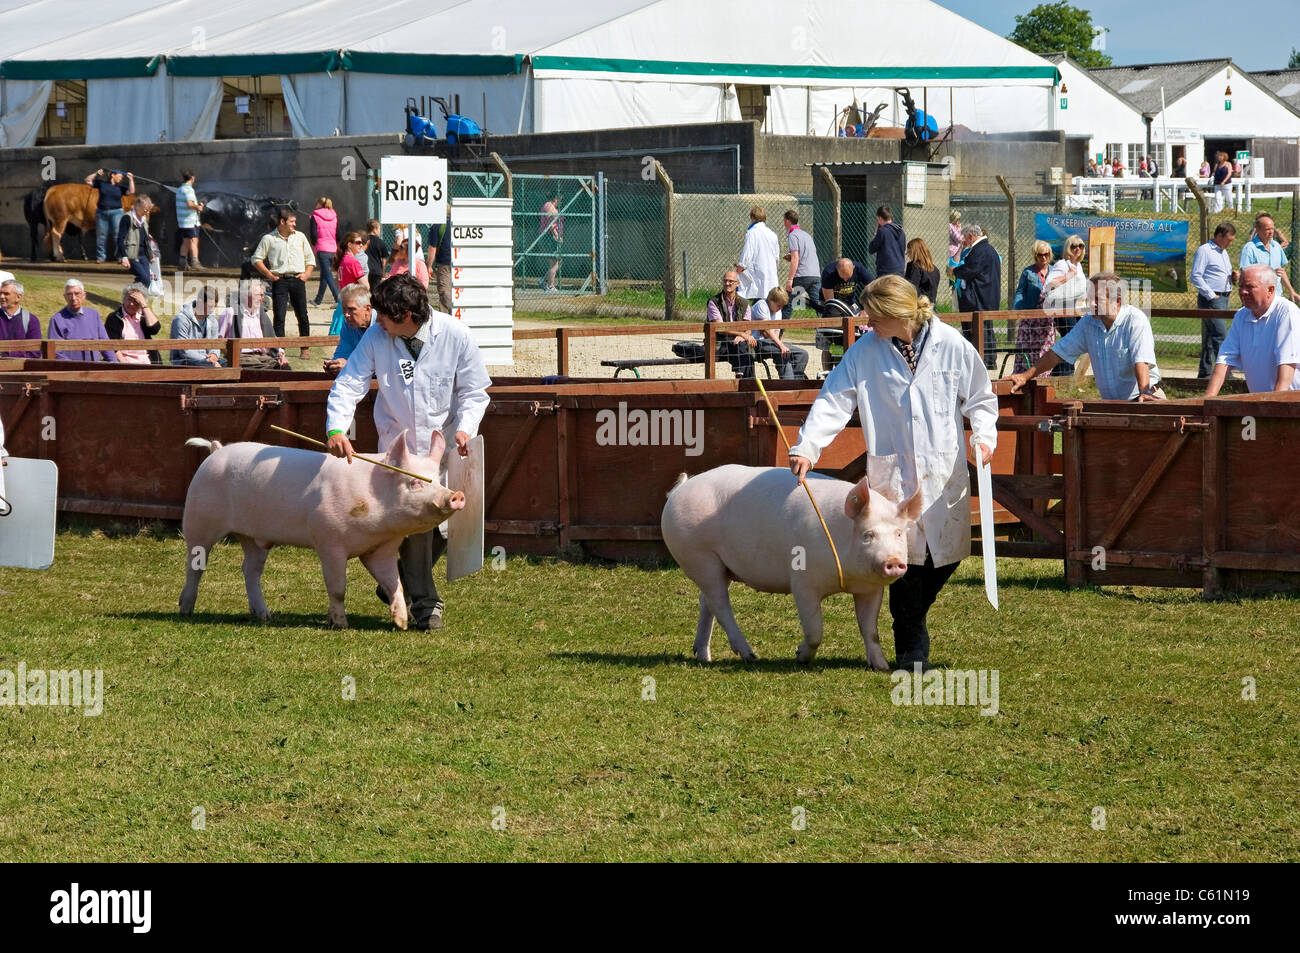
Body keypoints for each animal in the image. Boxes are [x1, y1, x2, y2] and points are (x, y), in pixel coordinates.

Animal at [175, 429, 465, 624]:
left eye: (438, 479)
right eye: (415, 483)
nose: (456, 495)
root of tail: (216, 450)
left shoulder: (380, 548)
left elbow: (394, 583)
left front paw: (401, 622)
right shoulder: (329, 540)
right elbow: (338, 587)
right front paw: (340, 624)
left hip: (253, 537)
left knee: (250, 569)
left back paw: (265, 616)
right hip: (199, 520)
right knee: (195, 565)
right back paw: (185, 610)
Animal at [665, 465, 920, 665]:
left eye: (899, 534)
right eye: (868, 535)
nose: (894, 562)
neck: (846, 578)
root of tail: (679, 490)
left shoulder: (870, 589)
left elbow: (870, 629)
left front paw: (881, 666)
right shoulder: (803, 582)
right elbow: (815, 629)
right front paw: (800, 657)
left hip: (720, 565)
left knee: (706, 601)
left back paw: (704, 657)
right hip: (699, 556)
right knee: (719, 603)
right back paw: (750, 656)